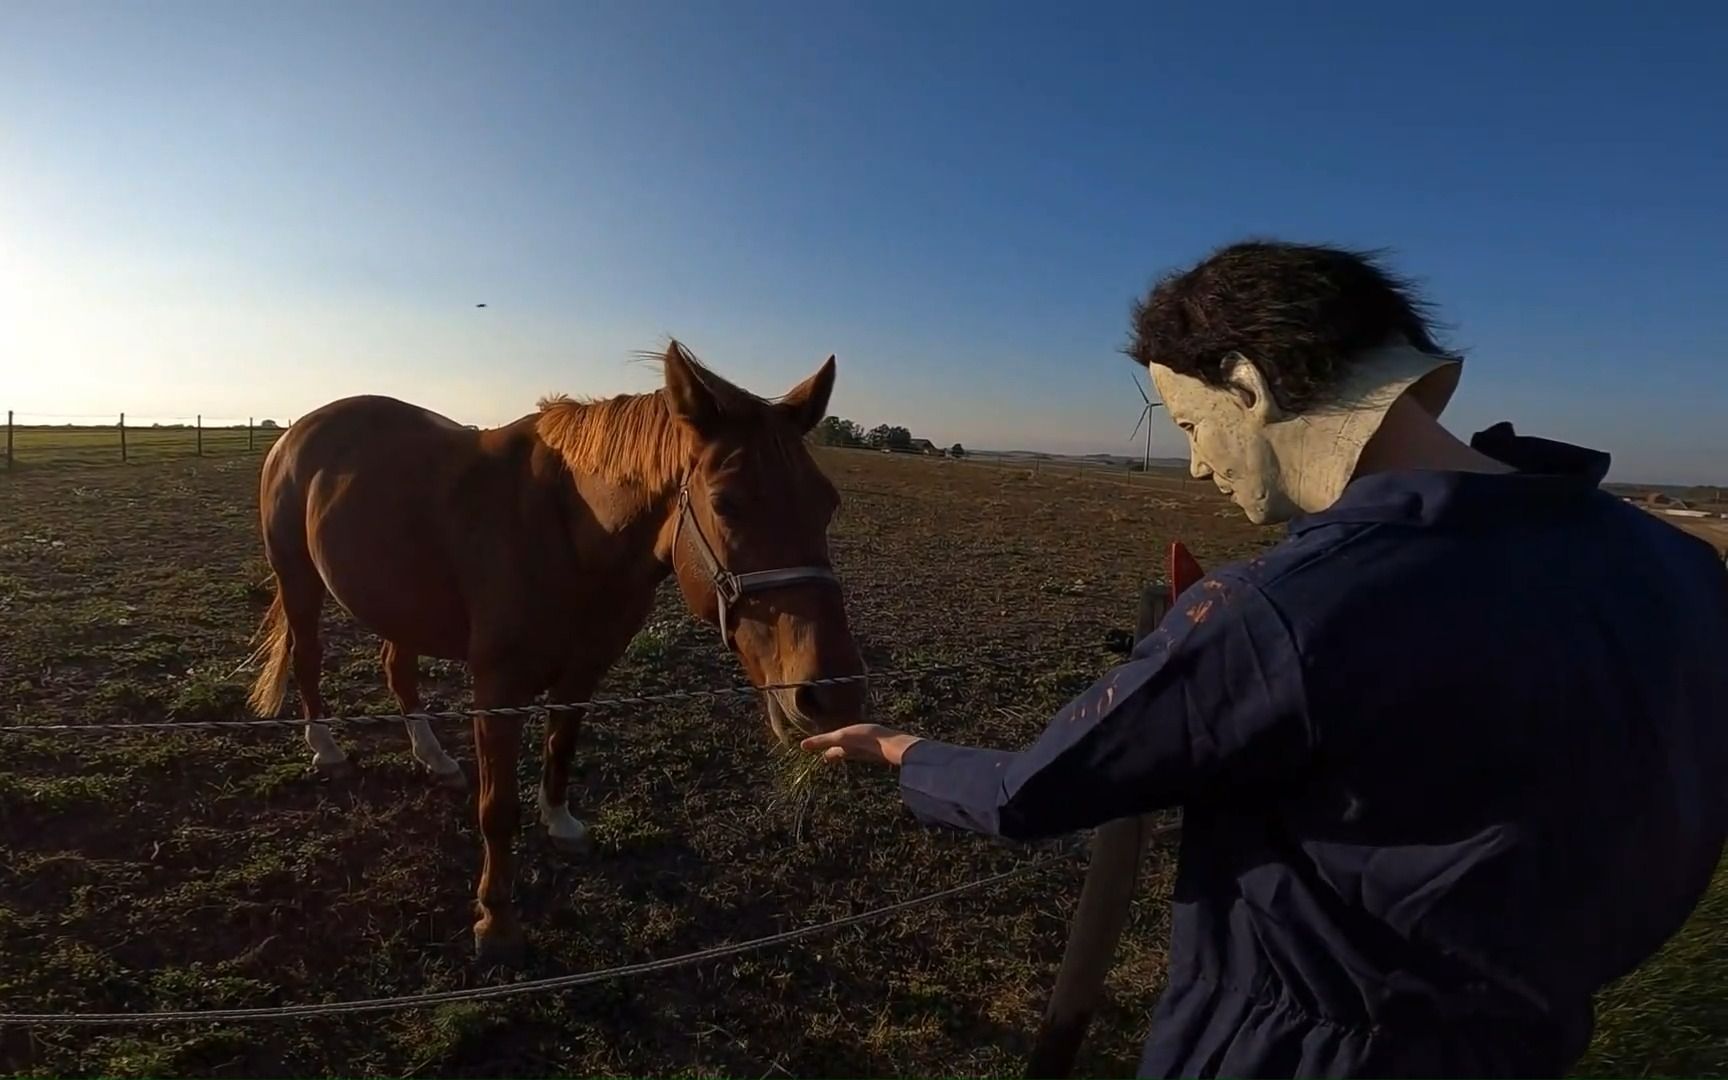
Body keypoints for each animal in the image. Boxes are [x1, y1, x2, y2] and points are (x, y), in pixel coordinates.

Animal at [247, 340, 864, 953]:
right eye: (727, 502)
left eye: (829, 503)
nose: (832, 693)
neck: (569, 530)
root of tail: (299, 431)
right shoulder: (497, 687)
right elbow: (498, 807)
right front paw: (496, 917)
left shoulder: (584, 671)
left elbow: (560, 749)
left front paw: (560, 822)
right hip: (299, 581)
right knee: (308, 659)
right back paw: (326, 749)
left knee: (398, 672)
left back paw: (435, 759)